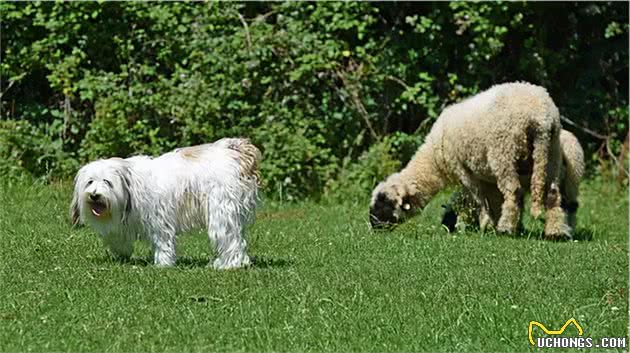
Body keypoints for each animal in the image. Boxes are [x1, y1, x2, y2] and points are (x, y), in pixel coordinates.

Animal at [71, 136, 262, 268]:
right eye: (90, 182)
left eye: (107, 182)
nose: (94, 195)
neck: (130, 187)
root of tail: (235, 151)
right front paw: (121, 254)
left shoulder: (159, 218)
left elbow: (162, 241)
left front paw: (163, 264)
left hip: (221, 212)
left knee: (232, 240)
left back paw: (228, 265)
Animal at [370, 81, 572, 238]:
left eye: (383, 203)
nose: (372, 227)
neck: (434, 161)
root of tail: (541, 117)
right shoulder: (486, 178)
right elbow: (492, 201)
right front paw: (494, 224)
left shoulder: (464, 172)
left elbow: (478, 200)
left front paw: (486, 226)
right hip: (551, 154)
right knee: (552, 193)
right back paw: (555, 233)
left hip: (504, 153)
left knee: (513, 191)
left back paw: (506, 229)